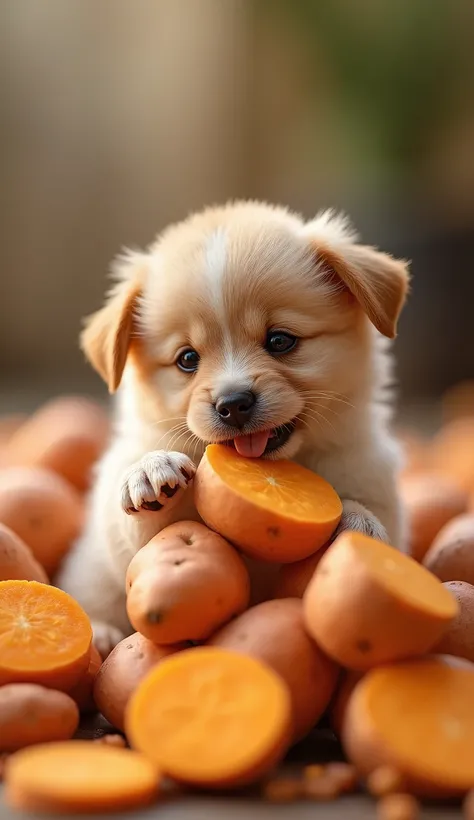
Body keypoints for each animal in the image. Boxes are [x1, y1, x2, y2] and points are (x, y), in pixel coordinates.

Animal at [57, 199, 410, 652]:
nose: (233, 404)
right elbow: (146, 539)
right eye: (187, 359)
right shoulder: (130, 539)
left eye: (280, 340)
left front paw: (357, 520)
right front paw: (152, 472)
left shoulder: (374, 480)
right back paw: (100, 633)